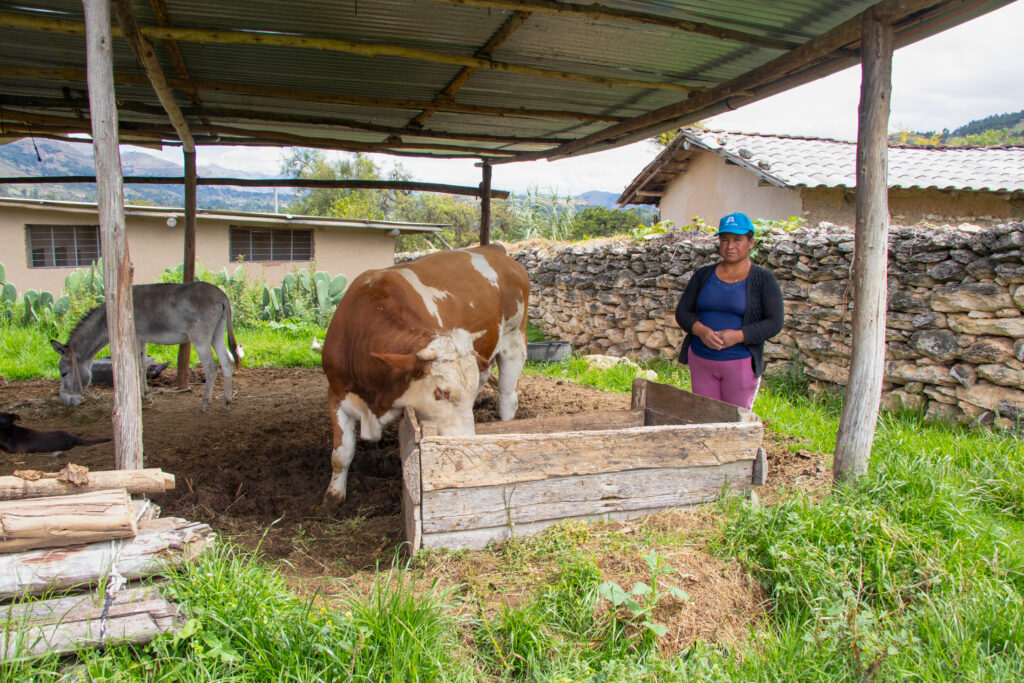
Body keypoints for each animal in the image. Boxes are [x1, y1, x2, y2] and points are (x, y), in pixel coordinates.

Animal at [319, 242, 528, 509]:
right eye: (441, 392)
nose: (465, 441)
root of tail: (494, 248)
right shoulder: (336, 392)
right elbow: (341, 454)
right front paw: (333, 497)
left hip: (515, 342)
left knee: (508, 396)